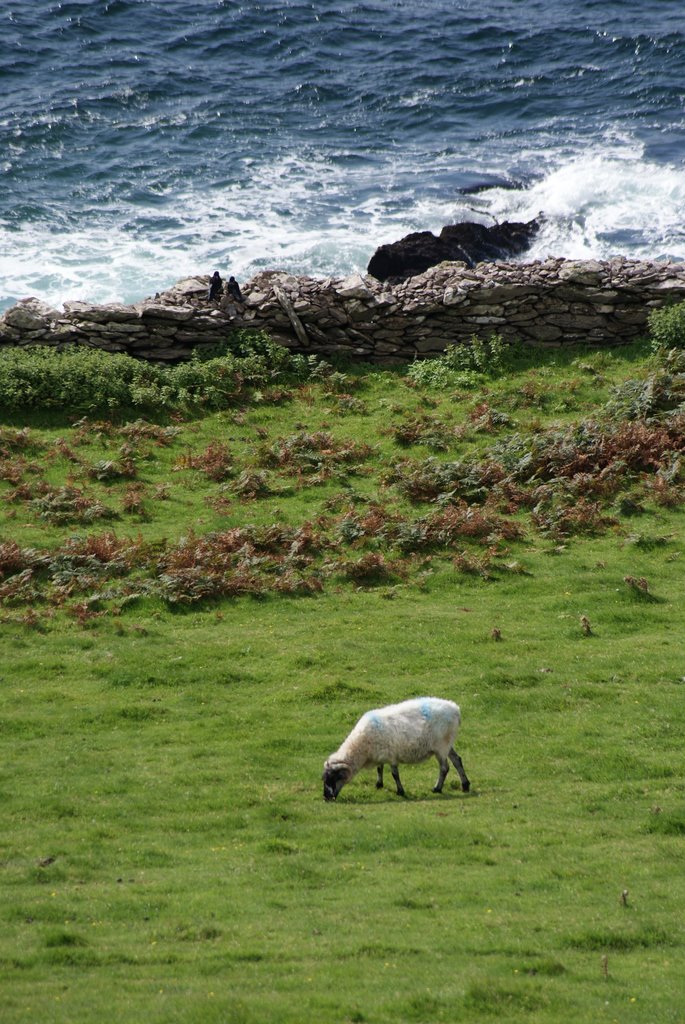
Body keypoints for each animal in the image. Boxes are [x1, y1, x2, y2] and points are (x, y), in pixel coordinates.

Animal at [321, 696, 471, 798]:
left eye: (333, 777)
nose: (326, 798)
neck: (361, 747)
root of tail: (455, 709)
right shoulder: (380, 752)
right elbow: (379, 769)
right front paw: (379, 785)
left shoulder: (391, 755)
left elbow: (394, 774)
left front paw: (400, 791)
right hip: (447, 744)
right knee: (457, 760)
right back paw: (465, 785)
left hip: (441, 746)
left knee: (445, 768)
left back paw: (437, 788)